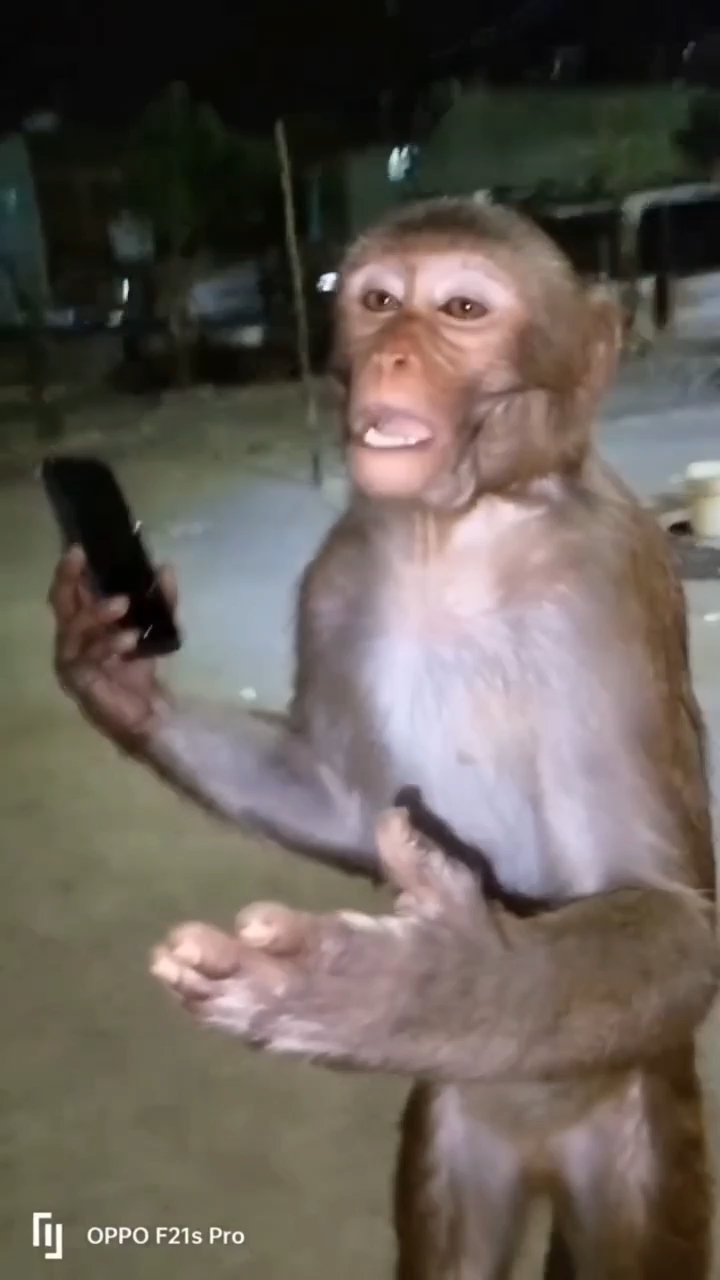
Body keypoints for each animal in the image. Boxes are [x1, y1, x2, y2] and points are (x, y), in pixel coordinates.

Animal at [50, 197, 720, 1279]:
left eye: (461, 309)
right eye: (376, 301)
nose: (395, 355)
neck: (464, 528)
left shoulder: (608, 578)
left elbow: (674, 911)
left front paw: (421, 986)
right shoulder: (339, 568)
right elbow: (337, 796)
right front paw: (113, 675)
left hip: (644, 1131)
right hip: (457, 1132)